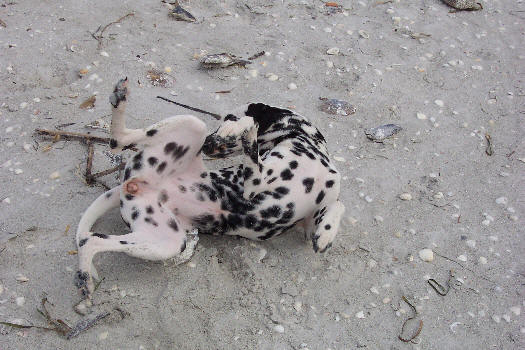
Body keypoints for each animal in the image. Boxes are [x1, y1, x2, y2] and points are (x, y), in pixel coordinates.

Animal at [73, 78, 344, 300]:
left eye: (225, 117)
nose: (208, 144)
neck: (306, 143)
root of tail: (135, 184)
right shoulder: (253, 184)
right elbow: (250, 126)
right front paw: (238, 129)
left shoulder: (308, 222)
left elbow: (336, 205)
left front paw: (326, 233)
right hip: (193, 125)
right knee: (117, 141)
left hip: (166, 241)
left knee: (91, 240)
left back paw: (85, 275)